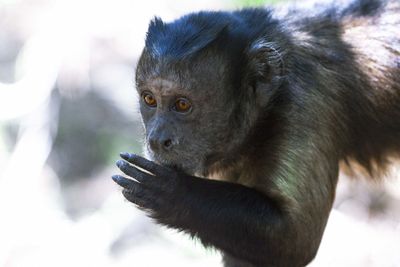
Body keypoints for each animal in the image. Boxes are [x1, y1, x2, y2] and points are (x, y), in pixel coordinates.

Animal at [111, 0, 400, 266]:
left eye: (182, 105)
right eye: (150, 100)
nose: (157, 140)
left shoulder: (306, 102)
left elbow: (297, 239)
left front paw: (172, 192)